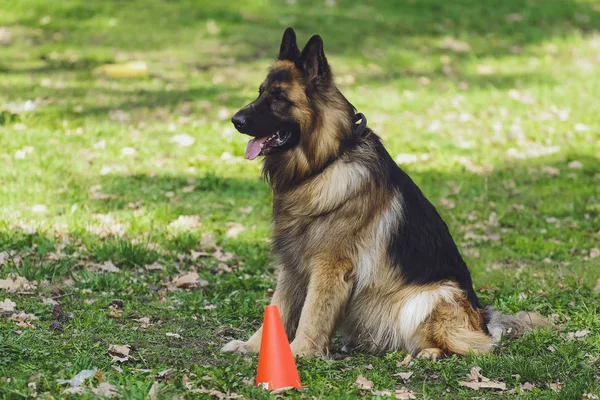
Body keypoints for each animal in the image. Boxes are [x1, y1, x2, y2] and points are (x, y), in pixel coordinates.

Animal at [221, 28, 548, 360]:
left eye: (278, 98)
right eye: (260, 92)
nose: (235, 120)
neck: (326, 162)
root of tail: (483, 319)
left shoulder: (330, 266)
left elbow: (312, 314)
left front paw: (300, 352)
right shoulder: (293, 261)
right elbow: (279, 305)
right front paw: (252, 346)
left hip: (428, 297)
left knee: (473, 345)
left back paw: (430, 352)